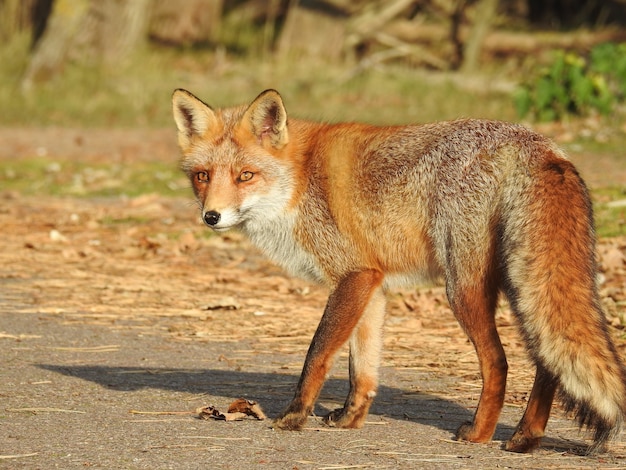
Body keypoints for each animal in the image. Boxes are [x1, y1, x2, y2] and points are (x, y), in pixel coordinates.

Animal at [171, 87, 624, 452]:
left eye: (245, 176)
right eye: (203, 176)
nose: (211, 216)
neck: (299, 181)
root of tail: (537, 143)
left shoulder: (353, 276)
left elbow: (318, 354)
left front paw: (294, 416)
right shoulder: (372, 283)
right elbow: (362, 369)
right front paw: (349, 420)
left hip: (464, 288)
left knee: (499, 361)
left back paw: (479, 434)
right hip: (521, 286)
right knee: (548, 364)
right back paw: (524, 438)